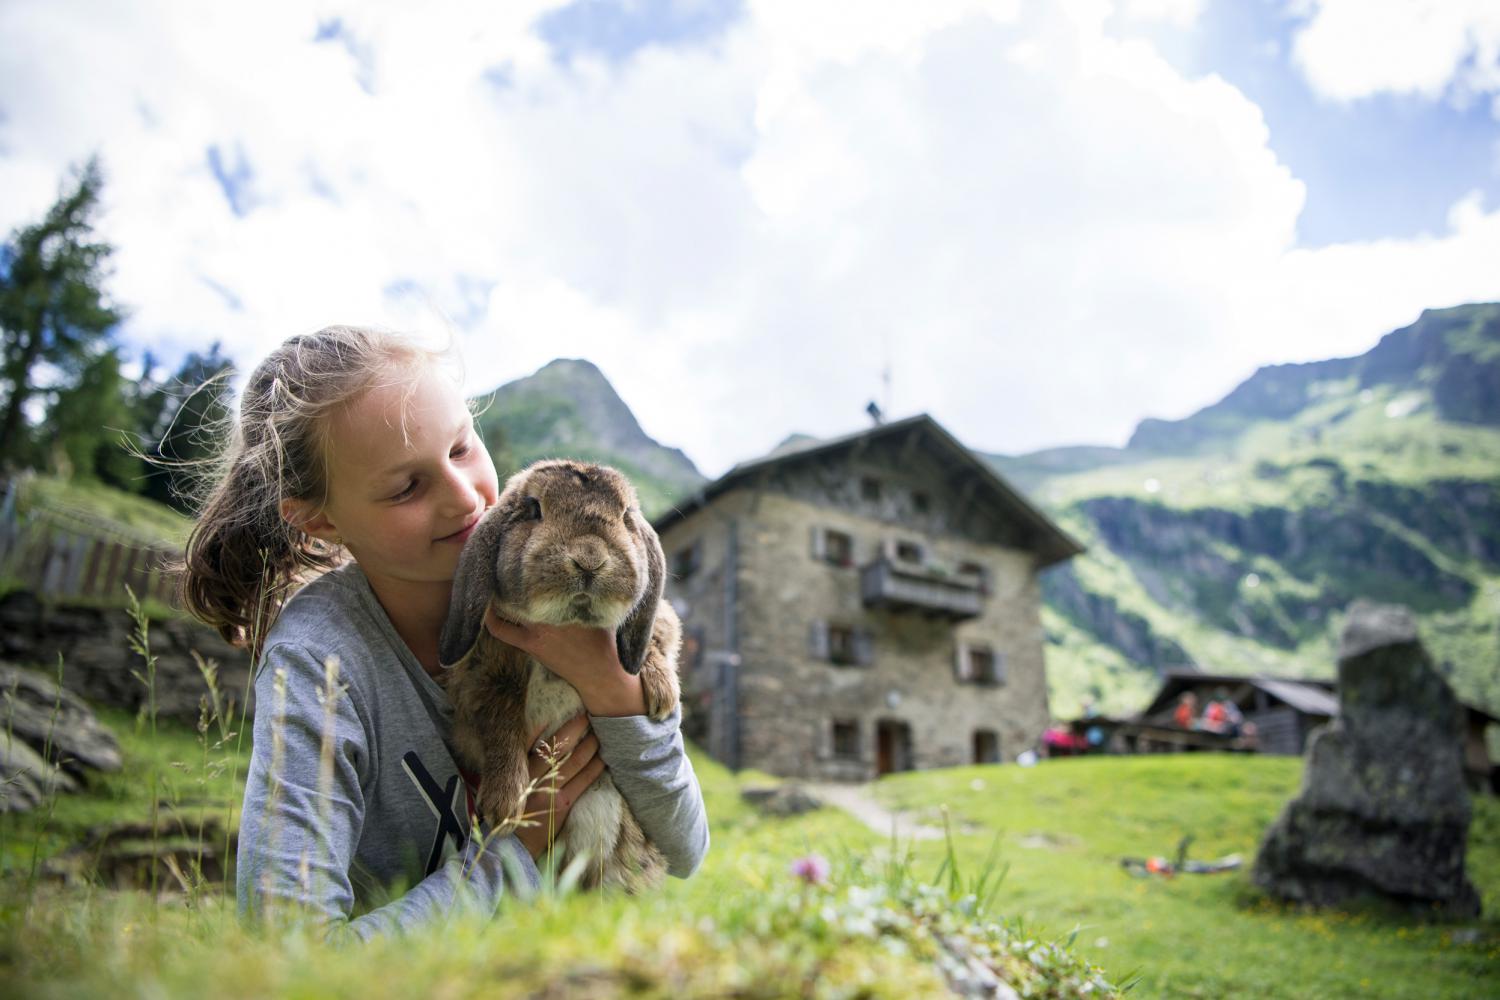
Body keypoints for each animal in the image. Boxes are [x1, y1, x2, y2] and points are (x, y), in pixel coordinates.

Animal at [438, 458, 684, 893]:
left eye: (625, 516)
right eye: (534, 509)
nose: (589, 559)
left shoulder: (661, 625)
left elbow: (657, 636)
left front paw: (661, 693)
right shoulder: (486, 677)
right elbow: (501, 723)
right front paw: (504, 804)